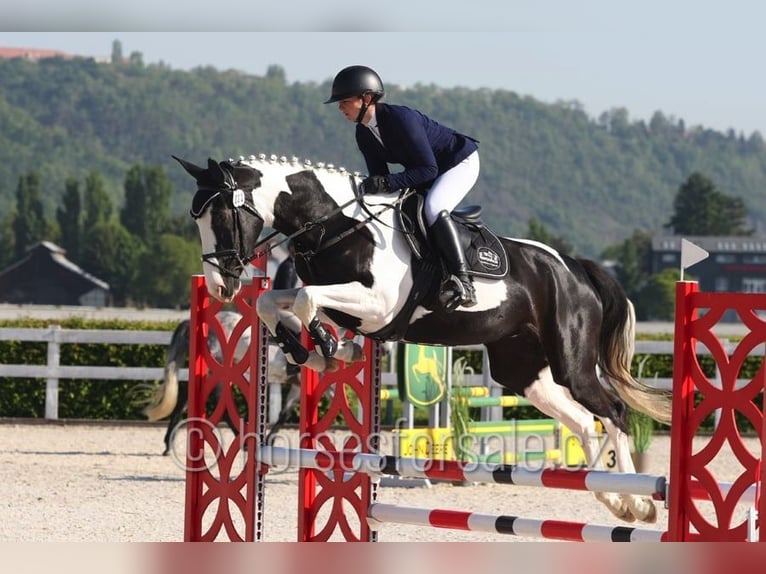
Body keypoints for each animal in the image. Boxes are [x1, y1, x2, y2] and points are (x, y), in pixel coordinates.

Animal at [136, 310, 303, 455]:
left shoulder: (297, 386)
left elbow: (284, 414)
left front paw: (269, 441)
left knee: (186, 399)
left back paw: (168, 444)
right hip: (219, 371)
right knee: (219, 403)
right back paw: (244, 443)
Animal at [173, 153, 673, 524]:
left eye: (222, 215)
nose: (220, 286)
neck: (333, 226)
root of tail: (575, 269)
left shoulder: (376, 305)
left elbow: (303, 297)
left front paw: (329, 347)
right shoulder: (343, 301)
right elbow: (274, 300)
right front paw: (319, 350)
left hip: (571, 361)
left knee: (613, 411)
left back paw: (640, 503)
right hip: (523, 371)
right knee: (585, 421)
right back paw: (616, 502)